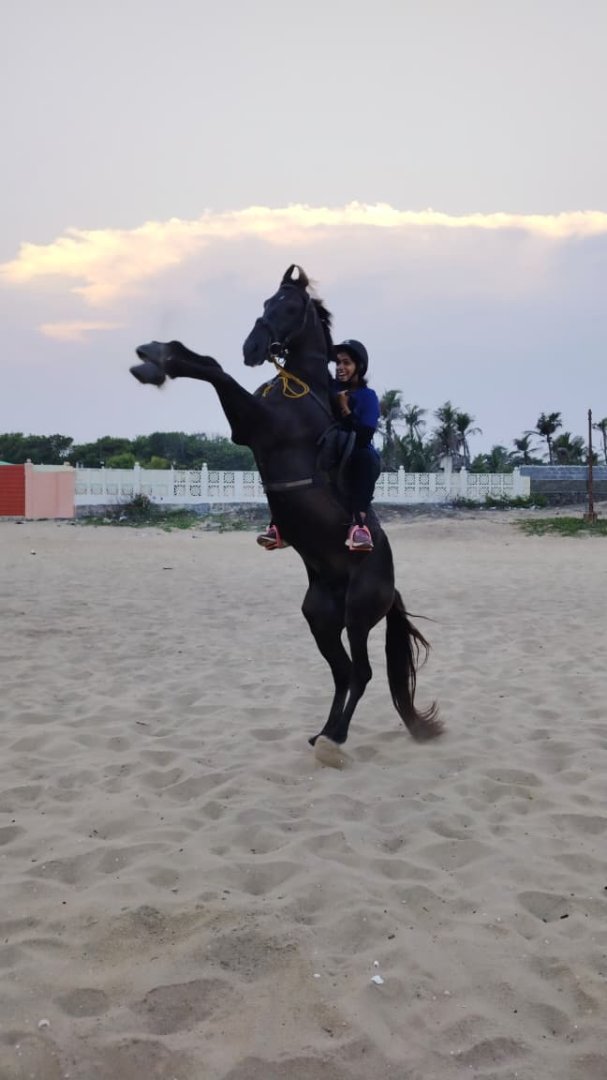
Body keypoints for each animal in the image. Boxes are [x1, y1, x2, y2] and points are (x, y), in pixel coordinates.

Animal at [130, 264, 442, 758]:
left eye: (291, 306)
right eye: (265, 302)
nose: (252, 348)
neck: (303, 387)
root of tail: (391, 588)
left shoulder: (258, 424)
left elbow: (215, 370)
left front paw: (157, 358)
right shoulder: (247, 429)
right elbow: (212, 366)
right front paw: (153, 356)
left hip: (357, 613)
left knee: (361, 672)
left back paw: (336, 740)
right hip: (320, 618)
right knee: (342, 672)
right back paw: (323, 732)